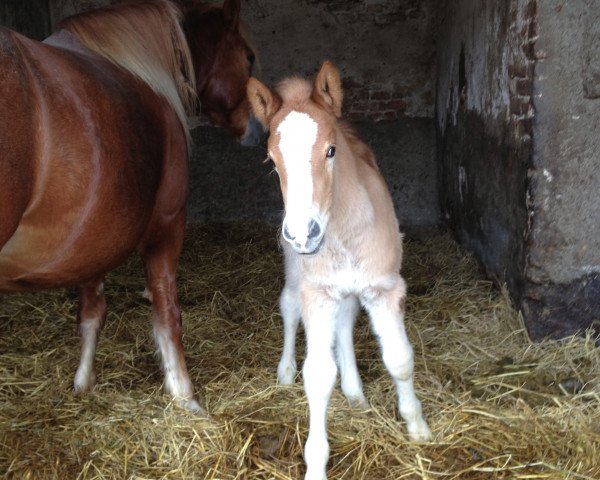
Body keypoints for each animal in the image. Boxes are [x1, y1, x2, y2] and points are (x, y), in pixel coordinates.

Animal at [247, 62, 432, 478]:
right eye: (272, 162)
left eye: (330, 151)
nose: (303, 234)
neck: (344, 232)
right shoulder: (317, 293)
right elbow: (317, 376)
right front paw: (316, 463)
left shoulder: (384, 289)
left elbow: (399, 359)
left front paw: (418, 428)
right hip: (296, 273)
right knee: (288, 308)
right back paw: (285, 372)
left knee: (346, 322)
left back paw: (354, 392)